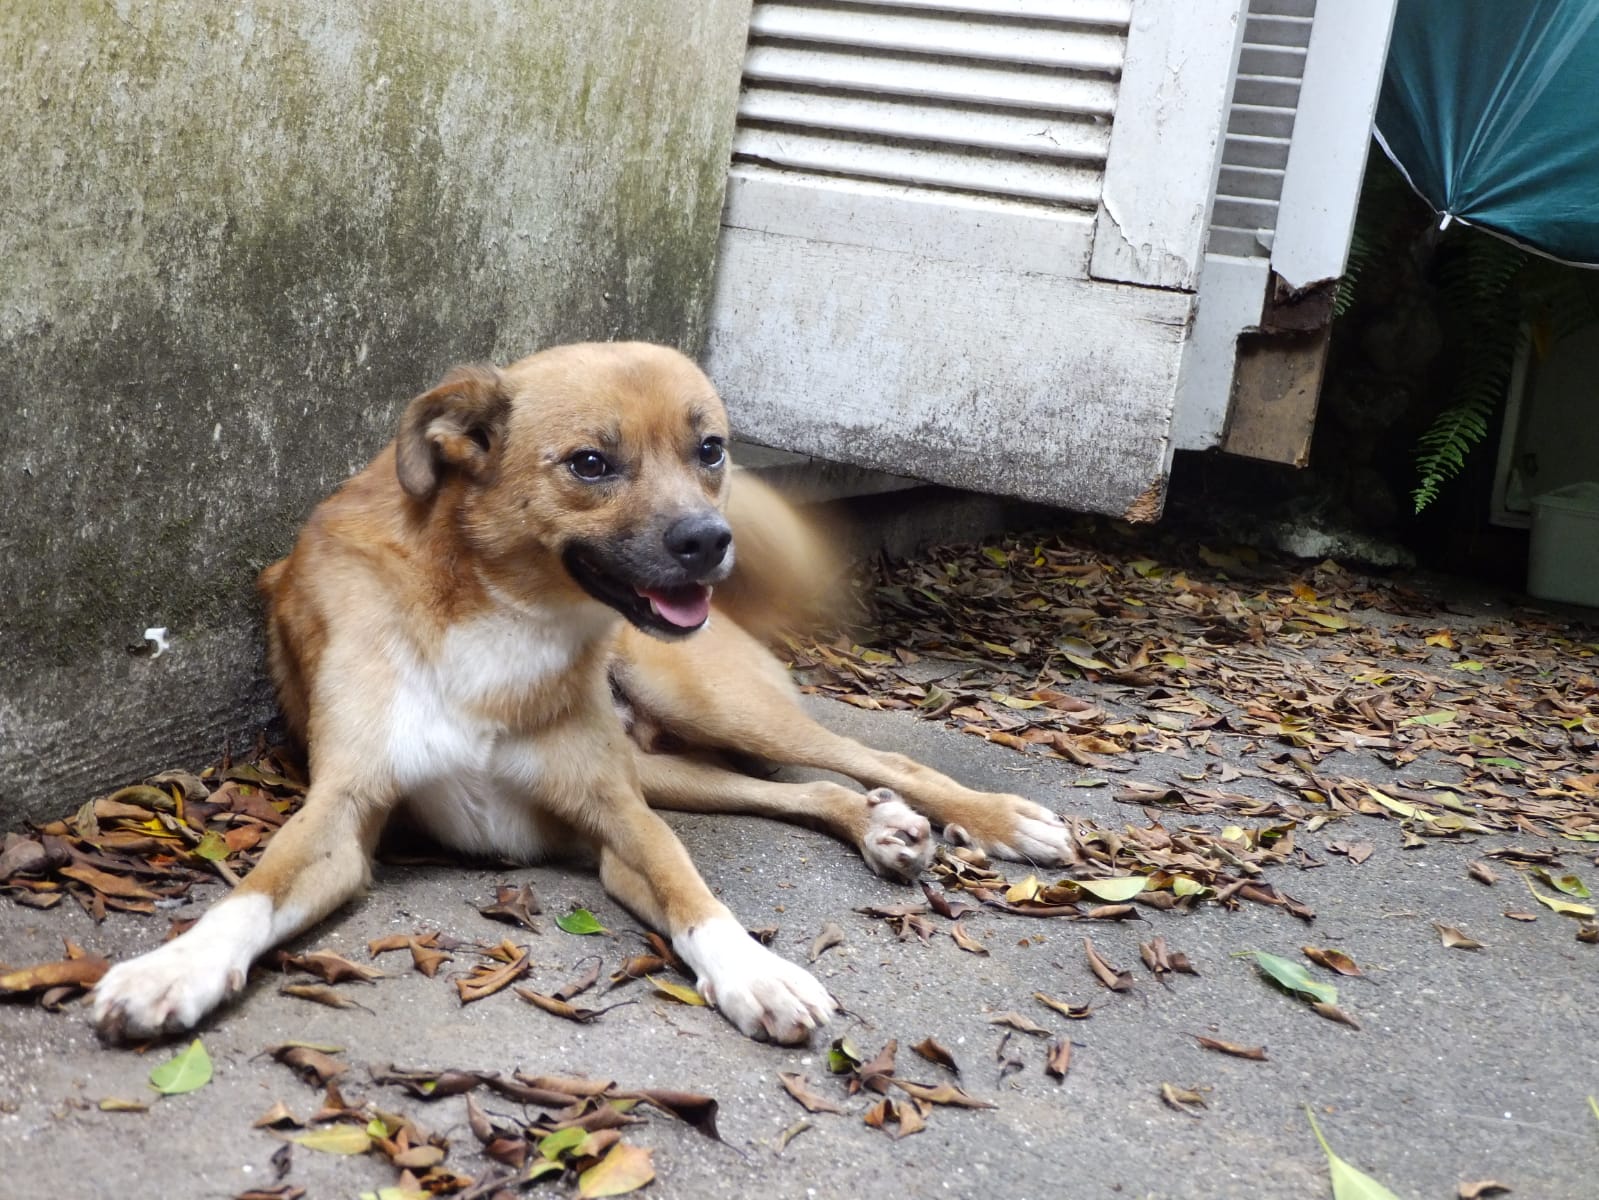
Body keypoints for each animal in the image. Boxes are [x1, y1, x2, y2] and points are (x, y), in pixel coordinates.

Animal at [96, 342, 1074, 1049]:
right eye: (591, 463)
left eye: (709, 449)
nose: (710, 542)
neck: (498, 612)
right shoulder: (342, 812)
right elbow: (251, 891)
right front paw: (172, 968)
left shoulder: (616, 813)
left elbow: (693, 893)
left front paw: (752, 971)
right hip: (669, 764)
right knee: (808, 789)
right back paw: (878, 825)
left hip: (697, 707)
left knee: (881, 755)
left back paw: (995, 818)